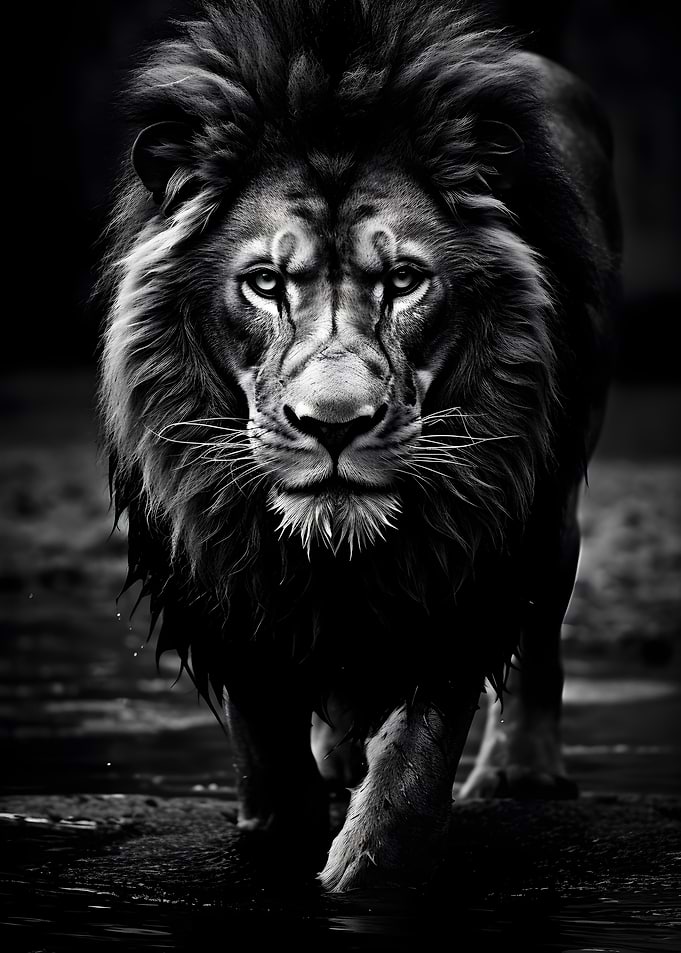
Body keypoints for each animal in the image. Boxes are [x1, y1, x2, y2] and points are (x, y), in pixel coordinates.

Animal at [99, 0, 621, 891]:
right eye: (265, 283)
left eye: (403, 281)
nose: (335, 424)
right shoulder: (213, 554)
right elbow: (264, 728)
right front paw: (278, 829)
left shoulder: (469, 549)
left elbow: (420, 740)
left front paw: (370, 865)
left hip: (547, 519)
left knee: (538, 648)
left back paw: (521, 771)